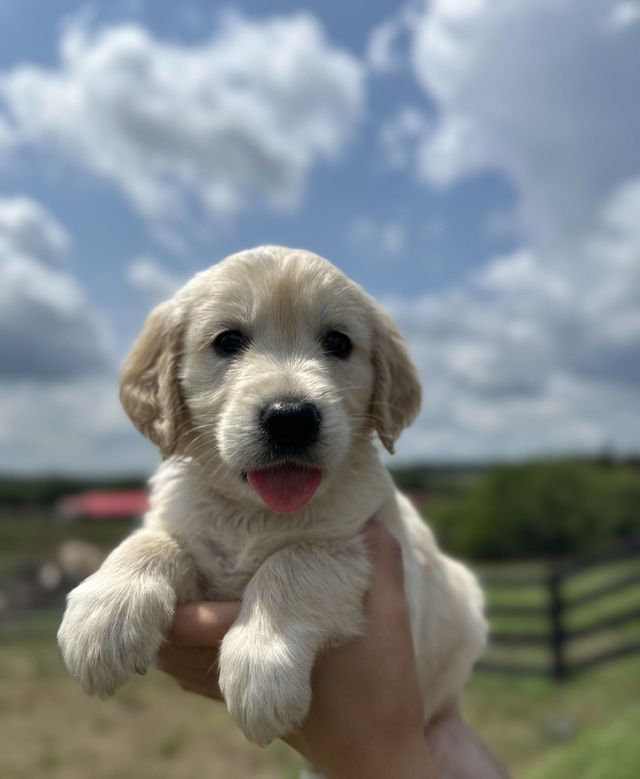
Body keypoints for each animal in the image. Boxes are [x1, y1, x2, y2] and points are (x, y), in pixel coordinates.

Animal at [57, 251, 484, 768]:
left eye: (338, 342)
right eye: (228, 341)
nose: (291, 417)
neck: (254, 512)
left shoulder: (361, 546)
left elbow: (295, 561)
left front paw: (260, 665)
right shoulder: (192, 540)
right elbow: (151, 541)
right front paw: (105, 613)